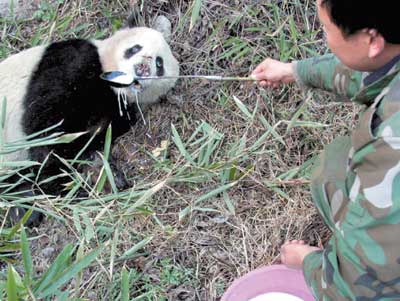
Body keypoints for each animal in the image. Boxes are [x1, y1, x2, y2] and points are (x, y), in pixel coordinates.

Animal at [0, 15, 179, 223]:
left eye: (159, 63)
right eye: (135, 48)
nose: (142, 67)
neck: (113, 89)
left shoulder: (117, 112)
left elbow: (87, 143)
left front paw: (104, 174)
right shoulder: (70, 64)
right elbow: (45, 126)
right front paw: (60, 182)